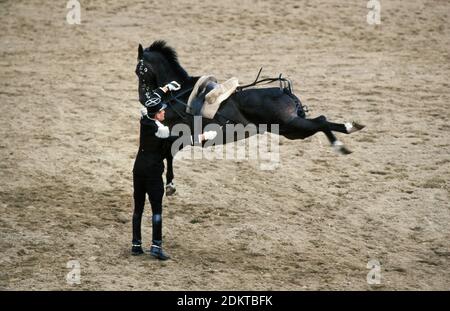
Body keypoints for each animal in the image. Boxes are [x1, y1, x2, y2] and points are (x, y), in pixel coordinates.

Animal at [134, 39, 366, 195]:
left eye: (140, 70)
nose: (144, 100)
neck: (180, 94)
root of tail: (285, 91)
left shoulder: (181, 135)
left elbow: (169, 154)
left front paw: (170, 186)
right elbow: (169, 154)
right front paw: (170, 185)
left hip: (292, 126)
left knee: (321, 121)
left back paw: (341, 143)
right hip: (291, 130)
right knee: (322, 122)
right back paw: (351, 127)